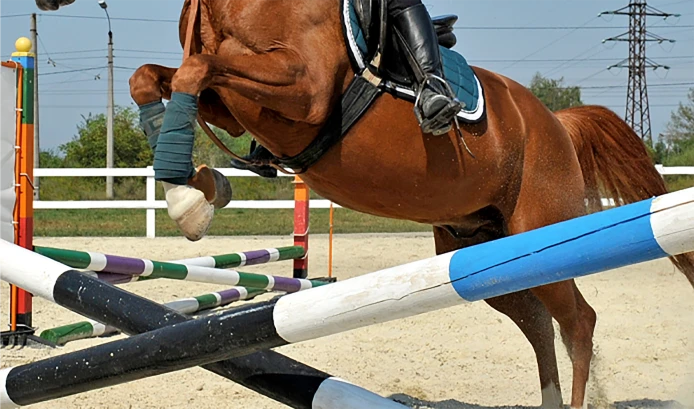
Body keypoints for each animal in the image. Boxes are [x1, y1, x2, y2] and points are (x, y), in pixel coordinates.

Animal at [38, 0, 694, 407]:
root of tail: (556, 122)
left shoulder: (300, 88)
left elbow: (197, 68)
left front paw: (188, 198)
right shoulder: (240, 108)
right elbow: (155, 77)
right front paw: (193, 192)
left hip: (543, 231)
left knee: (577, 320)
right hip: (483, 254)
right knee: (537, 323)